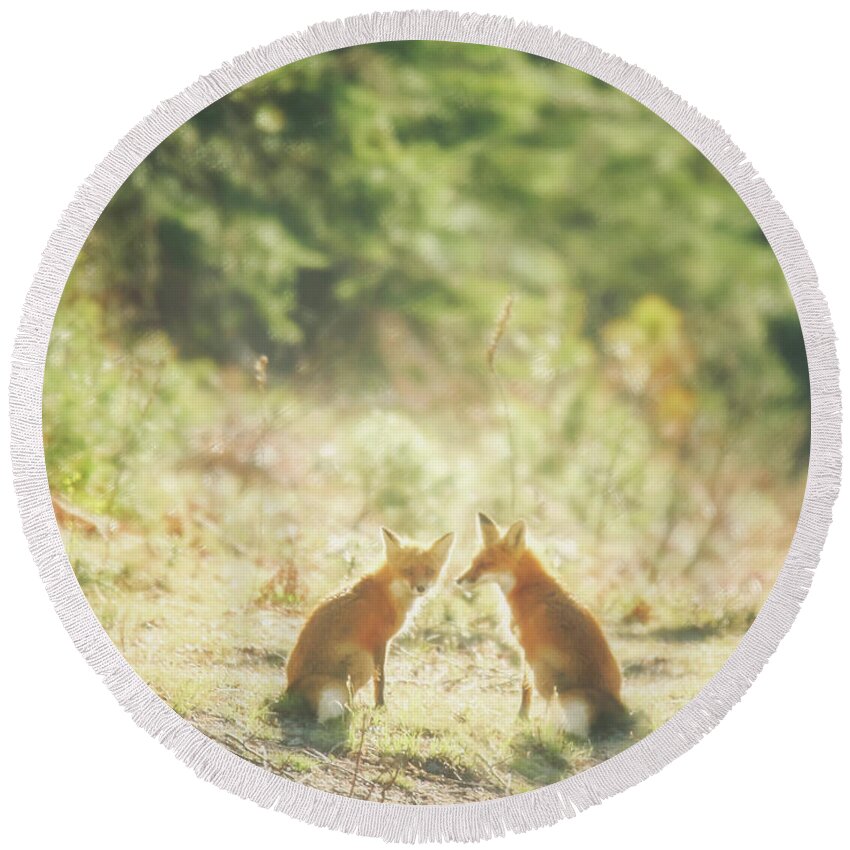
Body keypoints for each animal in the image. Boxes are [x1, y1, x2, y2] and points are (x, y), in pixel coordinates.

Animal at [284, 528, 454, 720]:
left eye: (429, 571)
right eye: (408, 570)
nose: (421, 588)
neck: (389, 593)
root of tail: (290, 690)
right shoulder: (379, 641)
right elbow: (380, 678)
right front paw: (380, 706)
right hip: (363, 660)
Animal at [454, 510, 628, 736]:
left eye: (485, 564)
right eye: (474, 562)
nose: (458, 580)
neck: (528, 589)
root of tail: (621, 709)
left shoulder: (532, 653)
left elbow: (532, 689)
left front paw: (529, 723)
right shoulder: (529, 654)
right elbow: (527, 690)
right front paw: (523, 718)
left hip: (568, 695)